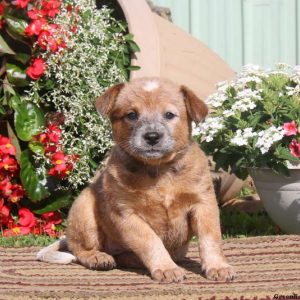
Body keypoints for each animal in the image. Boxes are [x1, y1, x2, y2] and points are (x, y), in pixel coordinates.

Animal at [36, 78, 236, 284]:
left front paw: (218, 266)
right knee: (79, 249)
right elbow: (151, 241)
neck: (159, 171)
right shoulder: (126, 213)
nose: (152, 136)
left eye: (169, 114)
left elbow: (210, 238)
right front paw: (167, 268)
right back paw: (97, 257)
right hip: (84, 208)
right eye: (132, 115)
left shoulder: (203, 203)